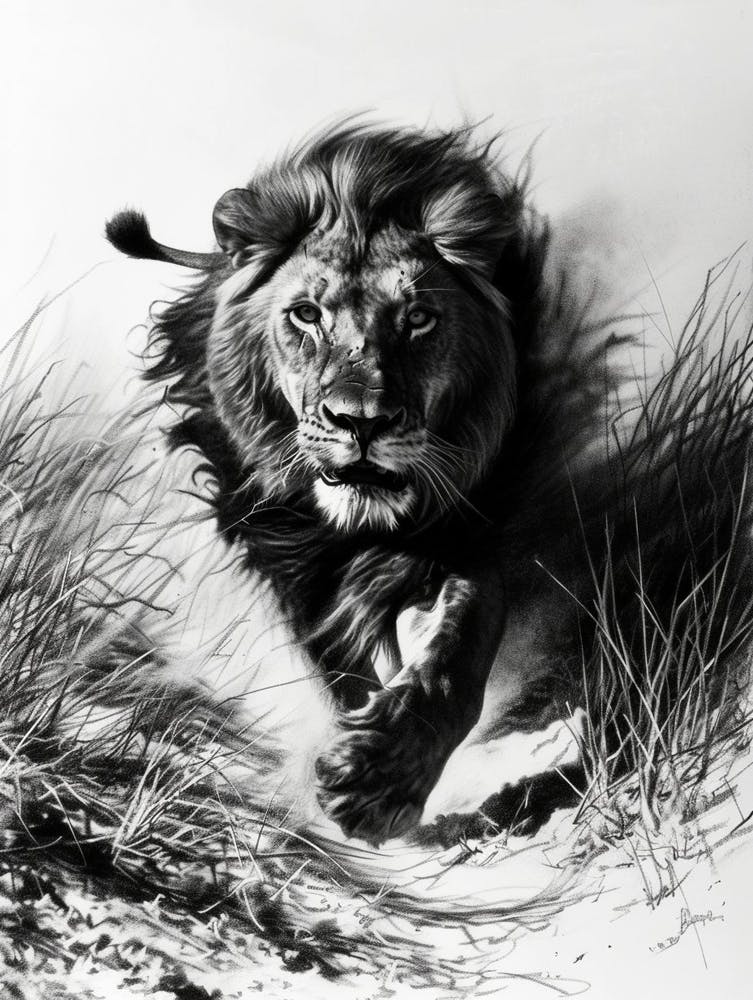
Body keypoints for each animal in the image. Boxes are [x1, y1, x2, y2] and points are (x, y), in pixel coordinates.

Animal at [104, 120, 751, 844]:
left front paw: (378, 782)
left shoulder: (461, 536)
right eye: (306, 315)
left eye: (418, 319)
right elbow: (339, 659)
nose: (362, 421)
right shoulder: (290, 561)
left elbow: (457, 652)